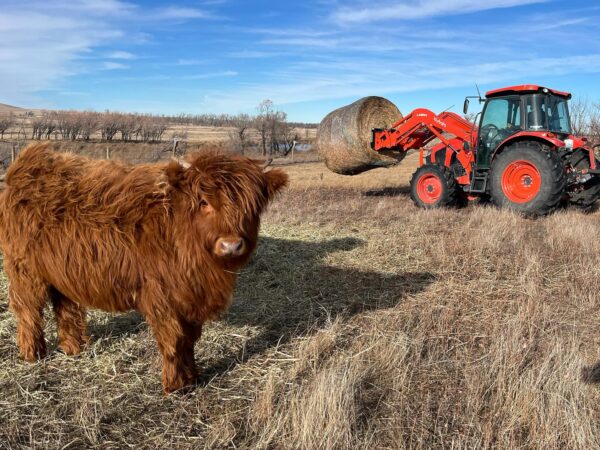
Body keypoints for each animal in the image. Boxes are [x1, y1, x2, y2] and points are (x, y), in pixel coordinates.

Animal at [0, 142, 288, 392]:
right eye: (204, 202)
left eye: (252, 206)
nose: (231, 245)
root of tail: (25, 164)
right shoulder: (163, 296)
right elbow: (174, 340)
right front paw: (175, 385)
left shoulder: (190, 298)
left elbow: (190, 340)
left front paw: (193, 378)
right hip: (24, 270)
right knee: (28, 310)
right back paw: (33, 353)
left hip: (62, 271)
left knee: (66, 307)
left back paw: (74, 348)